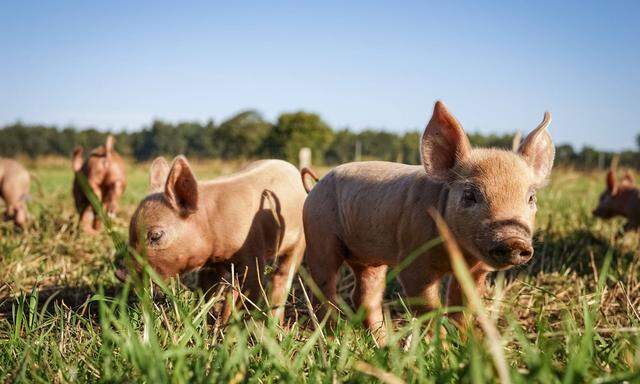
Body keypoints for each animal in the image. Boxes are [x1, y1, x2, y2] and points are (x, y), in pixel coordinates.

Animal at [122, 155, 308, 320]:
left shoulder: (253, 250)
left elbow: (252, 288)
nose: (121, 273)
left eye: (155, 235)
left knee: (282, 276)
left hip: (300, 241)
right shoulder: (211, 265)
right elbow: (207, 290)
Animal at [302, 101, 552, 340]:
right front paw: (443, 348)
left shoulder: (476, 270)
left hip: (368, 258)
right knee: (323, 289)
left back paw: (383, 343)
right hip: (318, 234)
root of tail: (316, 185)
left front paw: (465, 344)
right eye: (470, 195)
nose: (514, 240)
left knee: (364, 296)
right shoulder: (414, 260)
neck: (457, 255)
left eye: (531, 197)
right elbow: (430, 307)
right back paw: (330, 337)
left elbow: (463, 306)